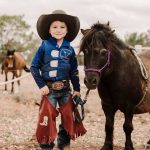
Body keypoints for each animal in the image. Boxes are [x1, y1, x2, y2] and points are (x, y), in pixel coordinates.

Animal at [79, 22, 149, 150]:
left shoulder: (130, 106)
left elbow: (127, 127)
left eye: (103, 52)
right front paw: (107, 146)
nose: (90, 81)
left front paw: (129, 147)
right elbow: (109, 126)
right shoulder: (107, 105)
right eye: (85, 51)